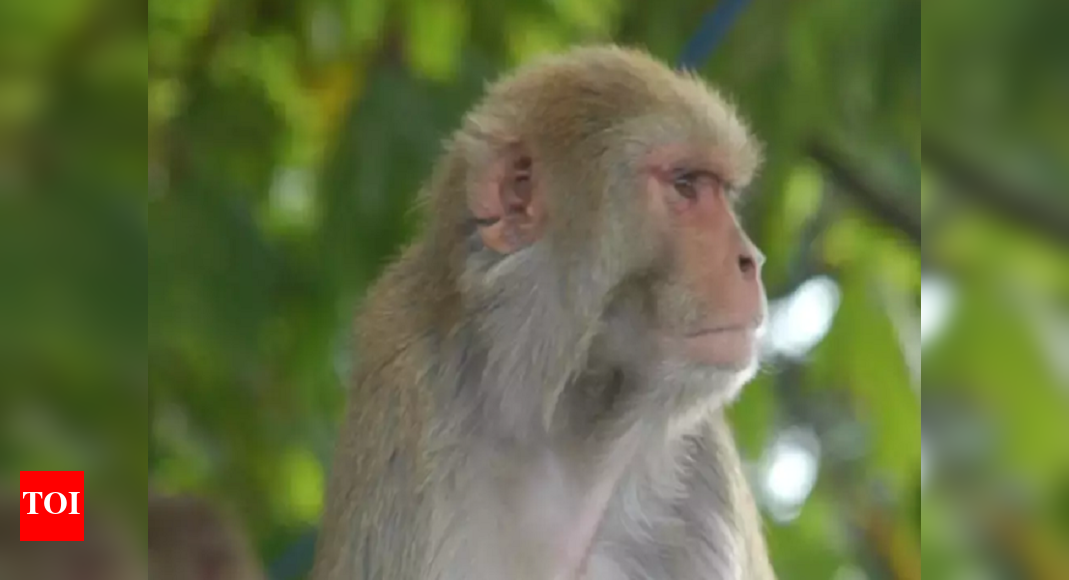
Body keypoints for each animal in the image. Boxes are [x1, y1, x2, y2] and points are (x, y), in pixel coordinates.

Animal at [311, 45, 776, 580]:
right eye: (685, 184)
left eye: (724, 192)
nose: (752, 260)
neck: (561, 425)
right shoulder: (405, 407)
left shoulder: (700, 473)